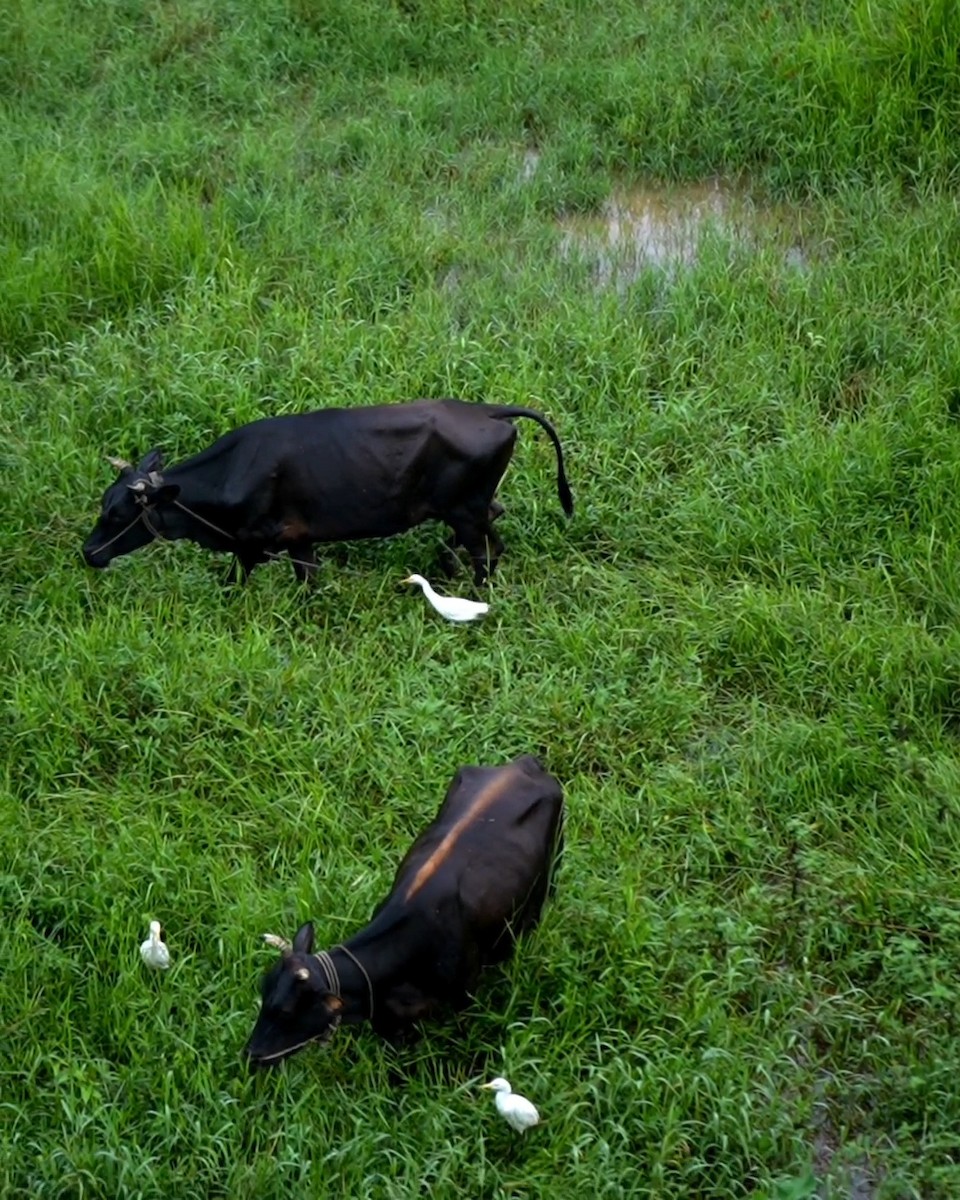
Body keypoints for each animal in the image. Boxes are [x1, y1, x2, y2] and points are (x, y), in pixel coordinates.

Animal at [82, 398, 571, 585]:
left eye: (118, 514)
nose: (88, 553)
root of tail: (489, 410)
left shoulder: (256, 541)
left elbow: (239, 582)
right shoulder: (299, 539)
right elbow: (308, 580)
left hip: (465, 510)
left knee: (488, 552)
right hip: (466, 506)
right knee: (494, 522)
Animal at [243, 753, 566, 1065]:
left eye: (285, 1011)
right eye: (263, 990)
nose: (251, 1054)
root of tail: (525, 763)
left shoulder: (465, 994)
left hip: (553, 864)